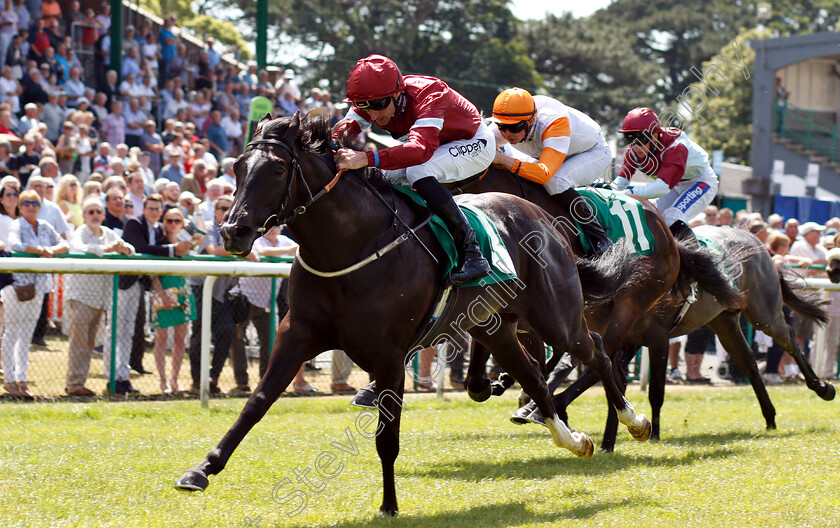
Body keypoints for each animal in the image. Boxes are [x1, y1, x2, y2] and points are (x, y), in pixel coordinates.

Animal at [174, 112, 652, 516]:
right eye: (238, 167)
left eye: (276, 170)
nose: (233, 231)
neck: (350, 246)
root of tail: (546, 221)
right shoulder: (297, 335)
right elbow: (255, 404)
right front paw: (201, 469)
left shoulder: (388, 356)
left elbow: (387, 437)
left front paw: (389, 505)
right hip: (495, 328)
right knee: (534, 377)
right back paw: (572, 439)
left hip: (556, 317)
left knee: (595, 353)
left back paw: (635, 421)